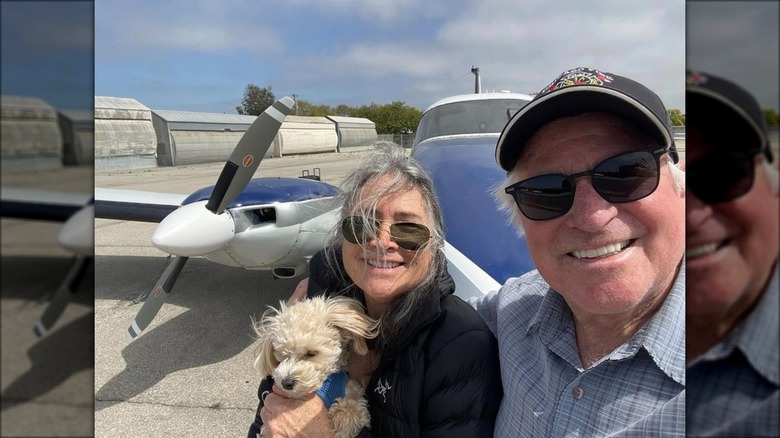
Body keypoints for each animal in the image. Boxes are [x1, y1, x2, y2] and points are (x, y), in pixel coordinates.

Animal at [253, 294, 378, 438]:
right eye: (284, 356)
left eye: (311, 353)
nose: (286, 383)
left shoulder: (351, 392)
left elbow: (351, 411)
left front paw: (344, 426)